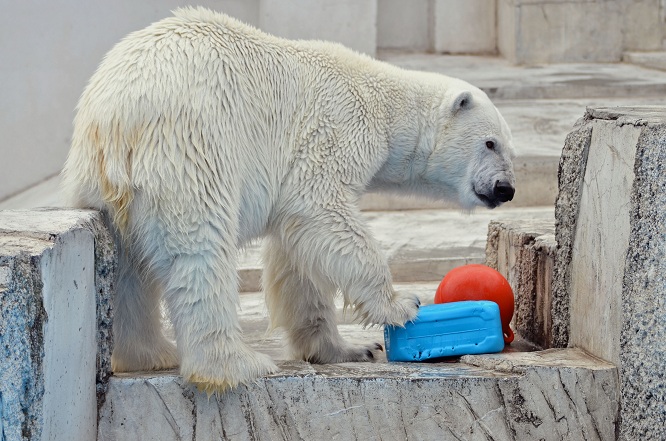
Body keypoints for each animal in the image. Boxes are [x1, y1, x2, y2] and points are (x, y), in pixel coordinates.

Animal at [61, 6, 512, 392]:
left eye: (509, 146)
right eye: (490, 143)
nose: (505, 189)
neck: (383, 104)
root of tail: (116, 118)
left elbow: (297, 258)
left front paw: (347, 348)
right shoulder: (335, 129)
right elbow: (322, 213)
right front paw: (402, 304)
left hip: (99, 181)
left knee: (128, 267)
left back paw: (150, 354)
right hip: (192, 146)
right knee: (199, 252)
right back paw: (234, 366)